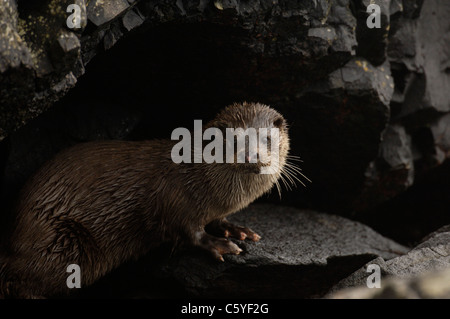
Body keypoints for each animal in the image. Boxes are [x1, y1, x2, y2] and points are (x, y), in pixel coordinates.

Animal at [0, 102, 304, 298]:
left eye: (267, 138)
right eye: (234, 140)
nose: (252, 156)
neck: (200, 177)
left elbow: (217, 220)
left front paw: (237, 229)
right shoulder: (175, 198)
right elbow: (190, 233)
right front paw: (220, 244)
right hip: (62, 241)